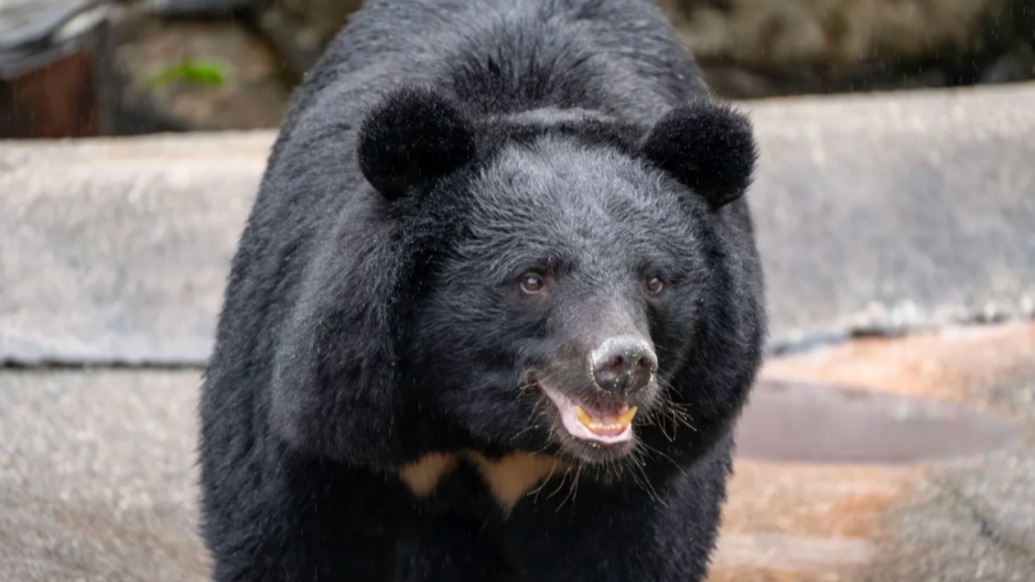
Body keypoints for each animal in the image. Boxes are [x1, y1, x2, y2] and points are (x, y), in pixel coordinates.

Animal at [198, 0, 766, 580]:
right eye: (532, 279)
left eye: (654, 280)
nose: (624, 363)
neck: (484, 428)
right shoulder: (331, 415)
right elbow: (282, 535)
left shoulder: (648, 469)